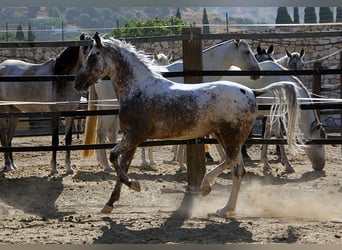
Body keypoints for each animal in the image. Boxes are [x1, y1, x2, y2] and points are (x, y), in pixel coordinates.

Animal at [0, 33, 91, 174]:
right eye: (84, 48)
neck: (61, 80)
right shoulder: (55, 114)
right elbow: (55, 140)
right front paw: (53, 168)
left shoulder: (70, 114)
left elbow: (68, 140)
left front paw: (69, 168)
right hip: (3, 112)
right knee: (4, 136)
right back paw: (8, 165)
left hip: (15, 112)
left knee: (9, 136)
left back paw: (13, 165)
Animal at [75, 32, 300, 217]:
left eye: (93, 56)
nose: (78, 83)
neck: (138, 88)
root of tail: (252, 92)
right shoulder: (132, 138)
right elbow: (122, 165)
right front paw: (110, 203)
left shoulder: (135, 135)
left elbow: (115, 158)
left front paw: (135, 185)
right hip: (223, 135)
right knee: (232, 163)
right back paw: (209, 189)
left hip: (231, 137)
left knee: (236, 169)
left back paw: (223, 207)